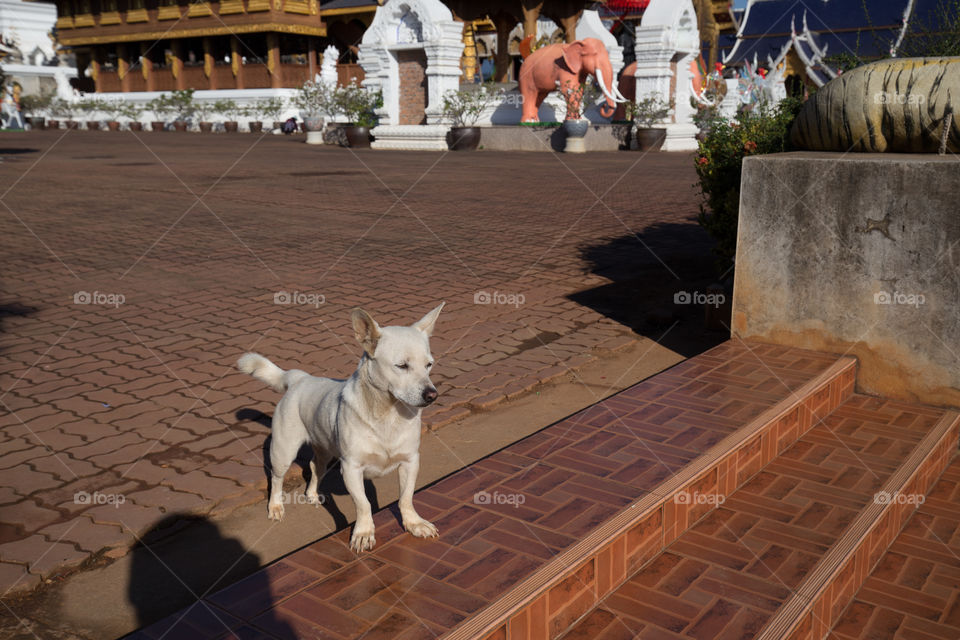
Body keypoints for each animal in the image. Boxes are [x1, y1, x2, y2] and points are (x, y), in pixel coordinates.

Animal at [236, 304, 442, 552]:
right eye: (402, 366)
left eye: (429, 365)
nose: (432, 395)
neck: (388, 414)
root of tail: (300, 379)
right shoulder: (351, 469)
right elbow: (363, 504)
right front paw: (364, 533)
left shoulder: (410, 462)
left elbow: (406, 497)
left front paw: (413, 523)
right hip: (283, 451)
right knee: (276, 479)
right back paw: (276, 507)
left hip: (324, 450)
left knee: (314, 467)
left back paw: (312, 494)